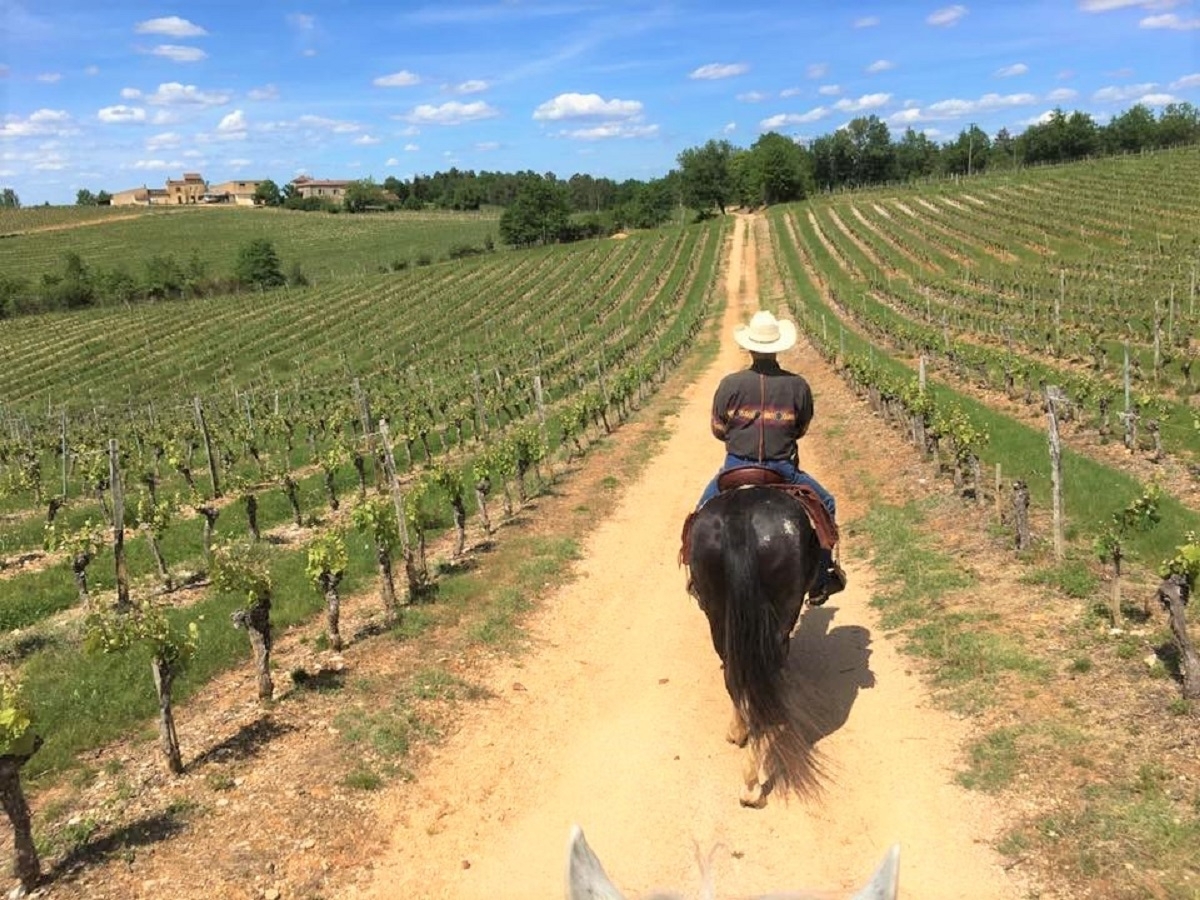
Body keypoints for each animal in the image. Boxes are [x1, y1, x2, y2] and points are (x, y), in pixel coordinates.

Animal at [681, 472, 826, 808]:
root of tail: (739, 518)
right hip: (782, 613)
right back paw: (752, 782)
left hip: (718, 616)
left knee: (736, 676)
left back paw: (741, 738)